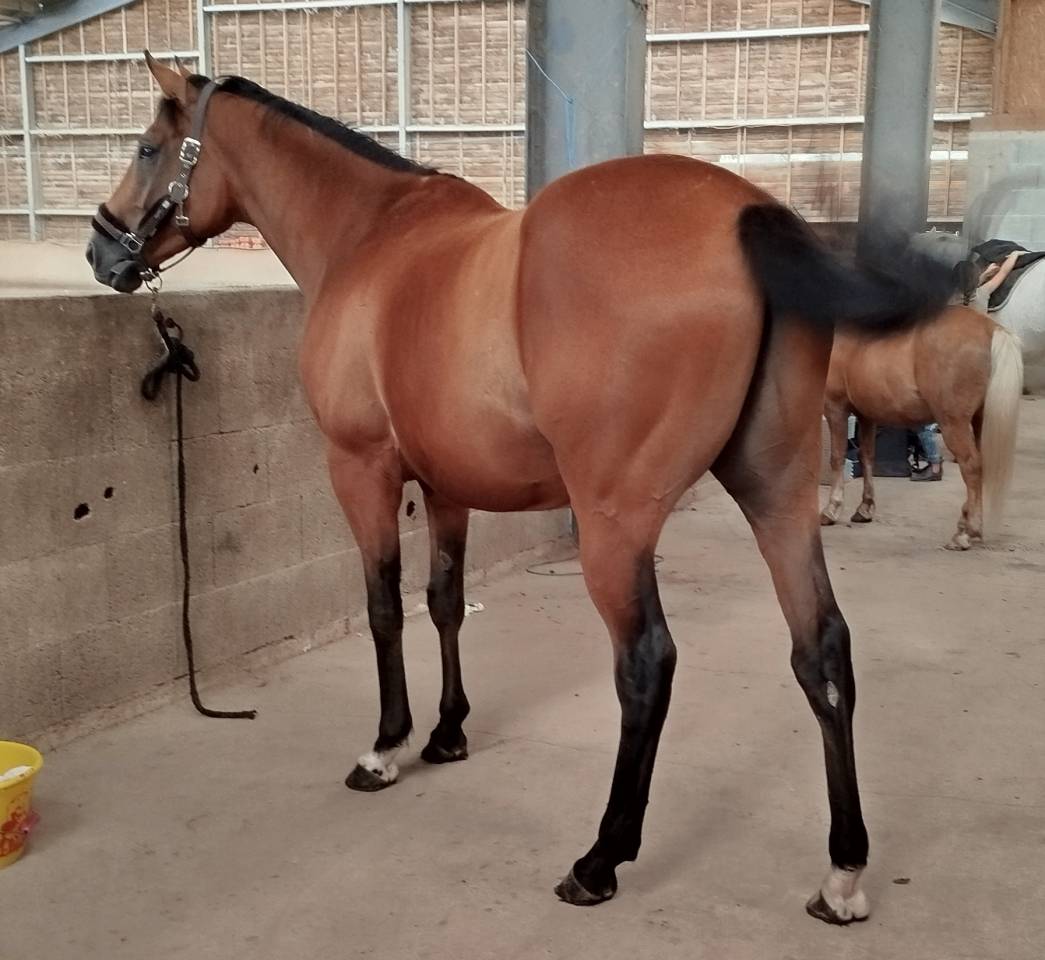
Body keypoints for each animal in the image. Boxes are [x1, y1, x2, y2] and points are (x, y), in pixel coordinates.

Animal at [86, 55, 955, 924]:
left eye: (147, 147)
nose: (102, 251)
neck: (369, 236)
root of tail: (750, 215)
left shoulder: (360, 469)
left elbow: (382, 605)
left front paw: (387, 745)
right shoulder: (446, 484)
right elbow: (442, 600)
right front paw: (447, 734)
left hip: (615, 524)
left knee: (646, 664)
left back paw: (600, 859)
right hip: (776, 495)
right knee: (822, 652)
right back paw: (841, 873)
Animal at [820, 305, 1023, 549]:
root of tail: (990, 328)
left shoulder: (835, 408)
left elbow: (837, 457)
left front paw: (831, 510)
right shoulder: (866, 415)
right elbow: (867, 457)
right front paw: (865, 509)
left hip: (953, 423)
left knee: (971, 466)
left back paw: (967, 533)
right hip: (980, 419)